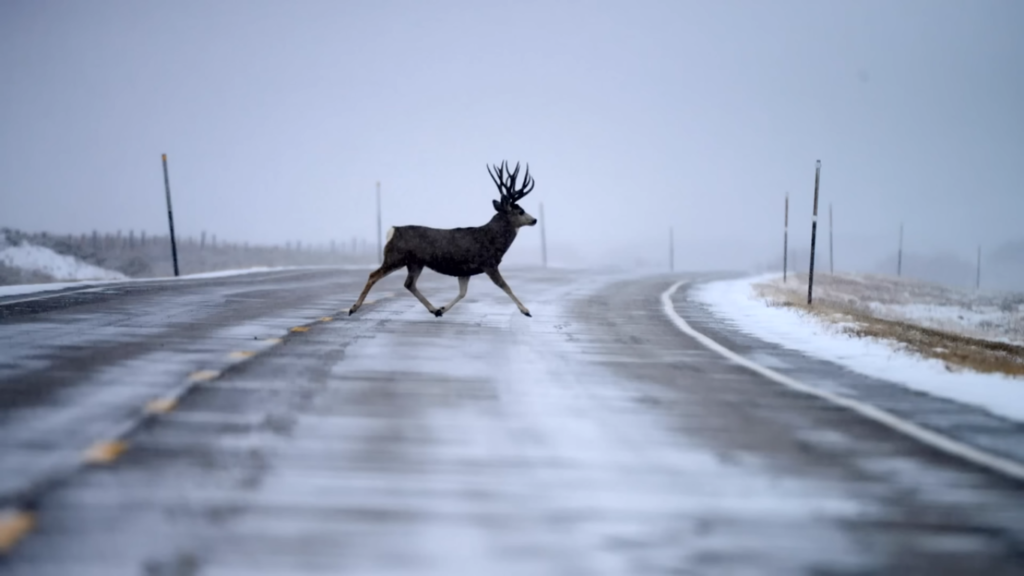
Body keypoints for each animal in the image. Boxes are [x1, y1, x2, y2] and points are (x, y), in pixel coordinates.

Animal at [350, 158, 540, 315]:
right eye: (520, 211)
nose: (535, 220)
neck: (492, 241)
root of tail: (393, 231)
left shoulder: (465, 270)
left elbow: (462, 293)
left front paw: (442, 309)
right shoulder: (488, 263)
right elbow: (505, 286)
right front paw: (526, 310)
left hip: (415, 263)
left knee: (409, 284)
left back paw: (434, 309)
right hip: (395, 257)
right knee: (374, 275)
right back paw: (353, 308)